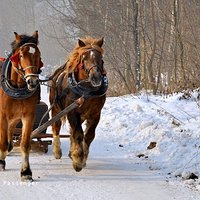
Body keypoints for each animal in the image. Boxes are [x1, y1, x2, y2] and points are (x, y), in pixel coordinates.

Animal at [0, 30, 42, 181]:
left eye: (38, 54)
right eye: (22, 55)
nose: (33, 81)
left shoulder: (28, 116)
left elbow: (24, 144)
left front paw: (26, 172)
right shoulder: (2, 115)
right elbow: (2, 143)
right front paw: (1, 162)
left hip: (14, 118)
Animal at [49, 37, 108, 172]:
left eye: (100, 57)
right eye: (84, 58)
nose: (96, 77)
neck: (86, 91)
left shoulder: (95, 114)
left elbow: (89, 135)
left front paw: (82, 156)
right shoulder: (72, 112)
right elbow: (78, 134)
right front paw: (78, 160)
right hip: (56, 109)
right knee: (56, 127)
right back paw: (57, 150)